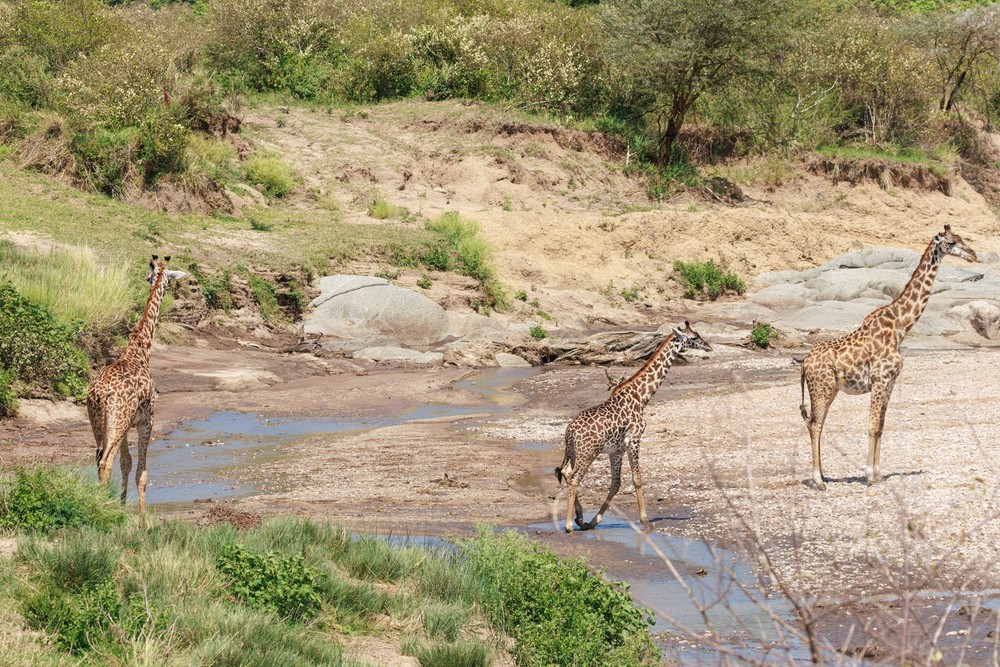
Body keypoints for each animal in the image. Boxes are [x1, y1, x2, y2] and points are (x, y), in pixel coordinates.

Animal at [86, 255, 185, 514]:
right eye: (169, 280)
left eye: (152, 277)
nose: (165, 289)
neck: (139, 351)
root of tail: (102, 393)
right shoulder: (146, 421)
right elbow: (142, 472)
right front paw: (143, 518)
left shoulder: (129, 425)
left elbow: (127, 464)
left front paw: (122, 506)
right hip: (117, 422)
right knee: (105, 461)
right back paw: (102, 507)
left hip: (99, 422)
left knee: (99, 458)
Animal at [555, 322, 712, 533]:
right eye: (694, 337)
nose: (708, 346)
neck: (641, 397)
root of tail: (569, 431)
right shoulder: (635, 439)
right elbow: (637, 478)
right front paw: (645, 521)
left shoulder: (617, 449)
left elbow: (616, 483)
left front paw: (593, 520)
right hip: (588, 452)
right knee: (574, 477)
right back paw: (569, 524)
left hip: (573, 451)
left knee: (566, 472)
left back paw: (579, 518)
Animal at [800, 225, 977, 490]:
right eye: (953, 242)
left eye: (962, 238)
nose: (973, 254)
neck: (900, 327)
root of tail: (804, 364)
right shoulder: (879, 379)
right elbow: (872, 428)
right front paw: (870, 476)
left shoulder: (891, 382)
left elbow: (881, 428)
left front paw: (879, 474)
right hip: (822, 388)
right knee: (815, 424)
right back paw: (818, 480)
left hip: (828, 390)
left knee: (815, 424)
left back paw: (823, 476)